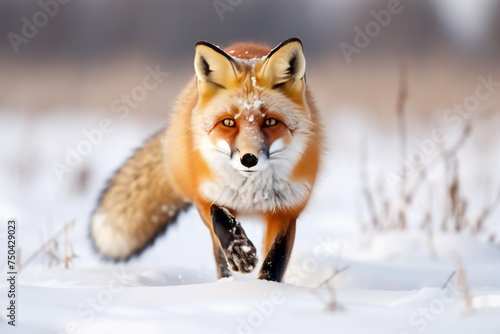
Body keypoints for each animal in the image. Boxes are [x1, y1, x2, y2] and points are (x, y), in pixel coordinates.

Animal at [90, 37, 322, 282]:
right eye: (228, 123)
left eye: (270, 122)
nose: (249, 159)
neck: (251, 192)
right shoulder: (206, 196)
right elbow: (219, 217)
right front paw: (239, 251)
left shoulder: (287, 209)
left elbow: (275, 259)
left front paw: (266, 287)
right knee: (219, 254)